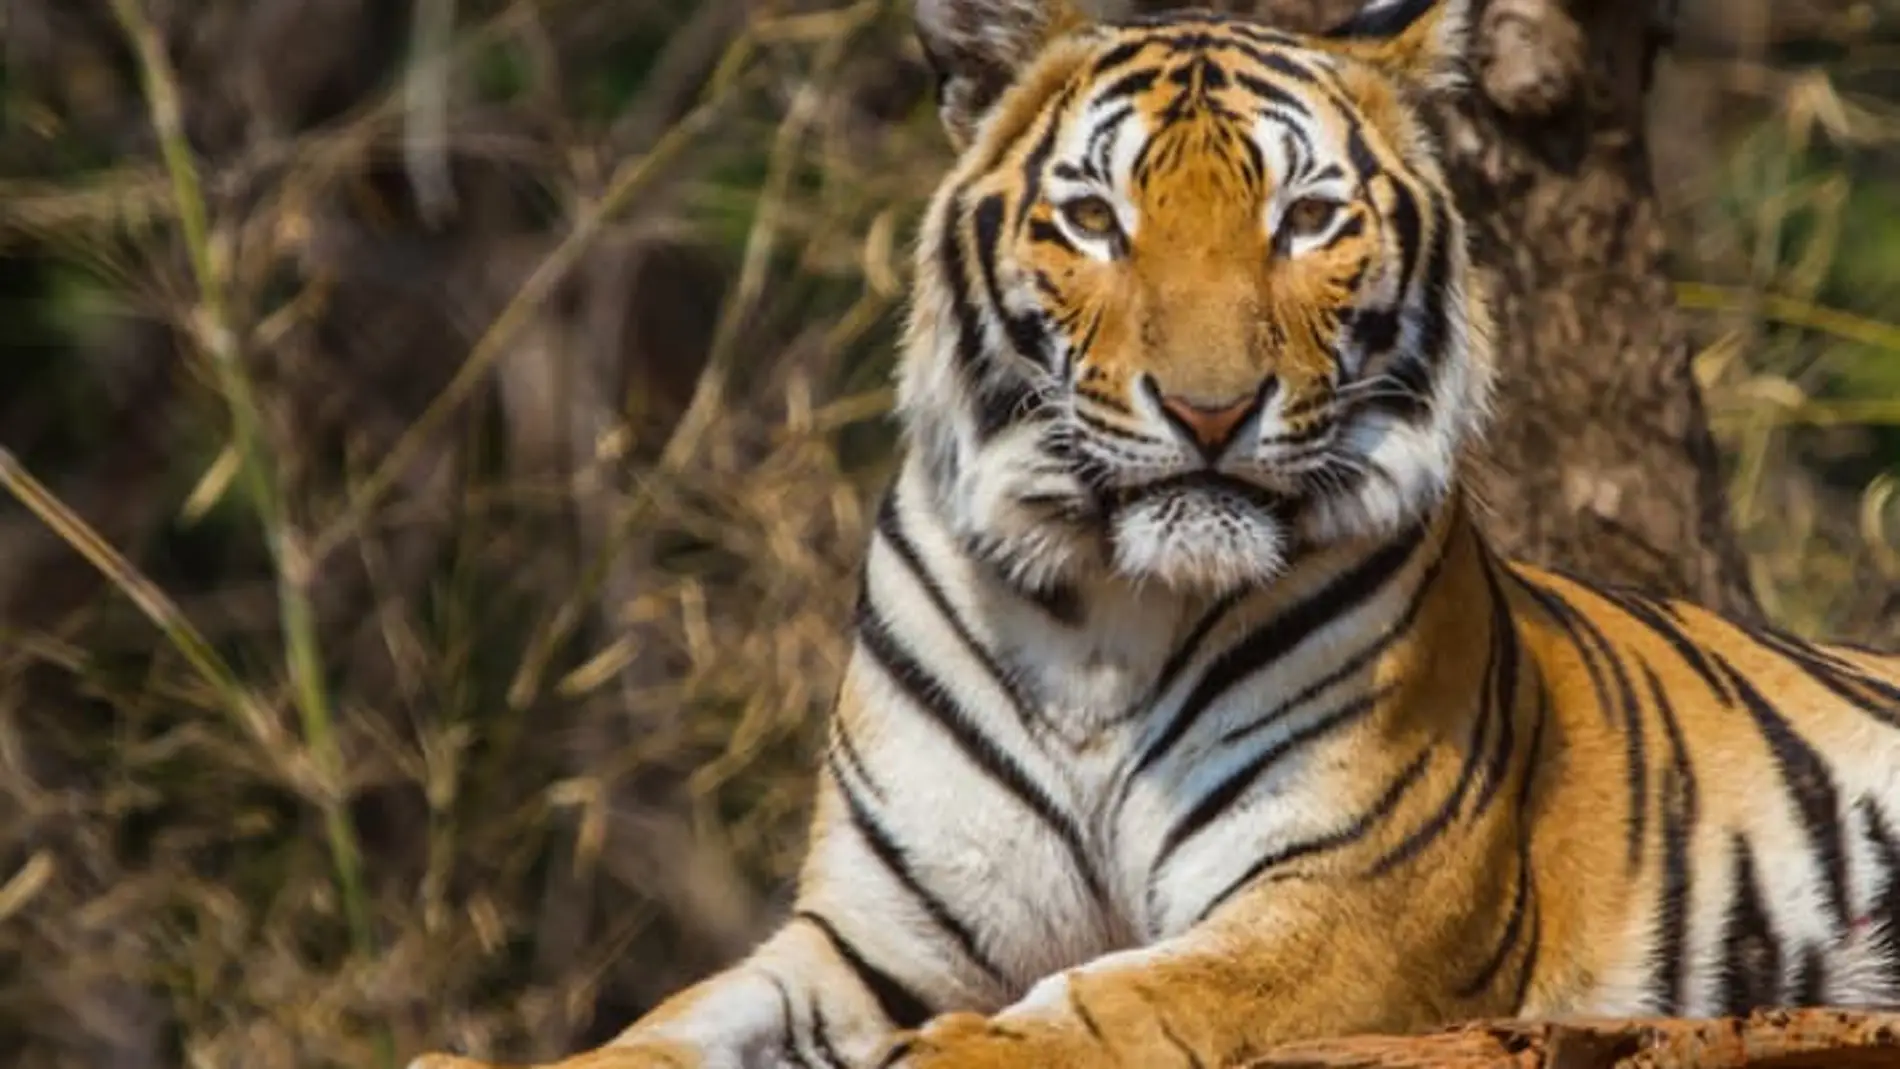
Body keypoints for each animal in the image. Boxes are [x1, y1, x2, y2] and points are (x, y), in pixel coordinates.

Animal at [410, 0, 1900, 1067]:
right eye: (1092, 218)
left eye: (1307, 220)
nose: (1209, 408)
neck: (1102, 614)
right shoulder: (869, 934)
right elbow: (670, 1023)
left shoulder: (1348, 897)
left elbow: (1113, 1002)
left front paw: (962, 1053)